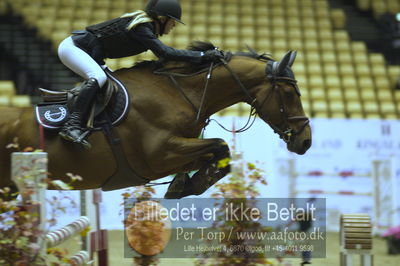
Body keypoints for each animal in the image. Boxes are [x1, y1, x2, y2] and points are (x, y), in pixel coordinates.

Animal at [0, 43, 312, 197]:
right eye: (289, 93)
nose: (306, 142)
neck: (180, 93)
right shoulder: (160, 154)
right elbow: (220, 145)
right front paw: (189, 186)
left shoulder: (179, 152)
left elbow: (218, 155)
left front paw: (184, 186)